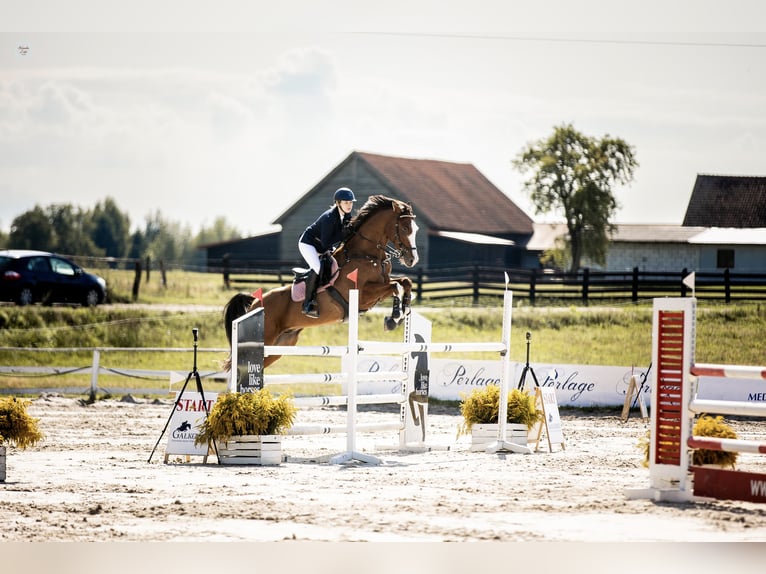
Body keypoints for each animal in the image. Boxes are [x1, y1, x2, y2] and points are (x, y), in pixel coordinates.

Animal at [224, 196, 420, 372]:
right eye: (404, 228)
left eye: (415, 229)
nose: (412, 260)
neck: (367, 255)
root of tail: (255, 303)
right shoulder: (363, 295)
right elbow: (395, 286)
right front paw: (394, 318)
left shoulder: (381, 285)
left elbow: (405, 282)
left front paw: (404, 310)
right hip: (266, 338)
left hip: (281, 344)